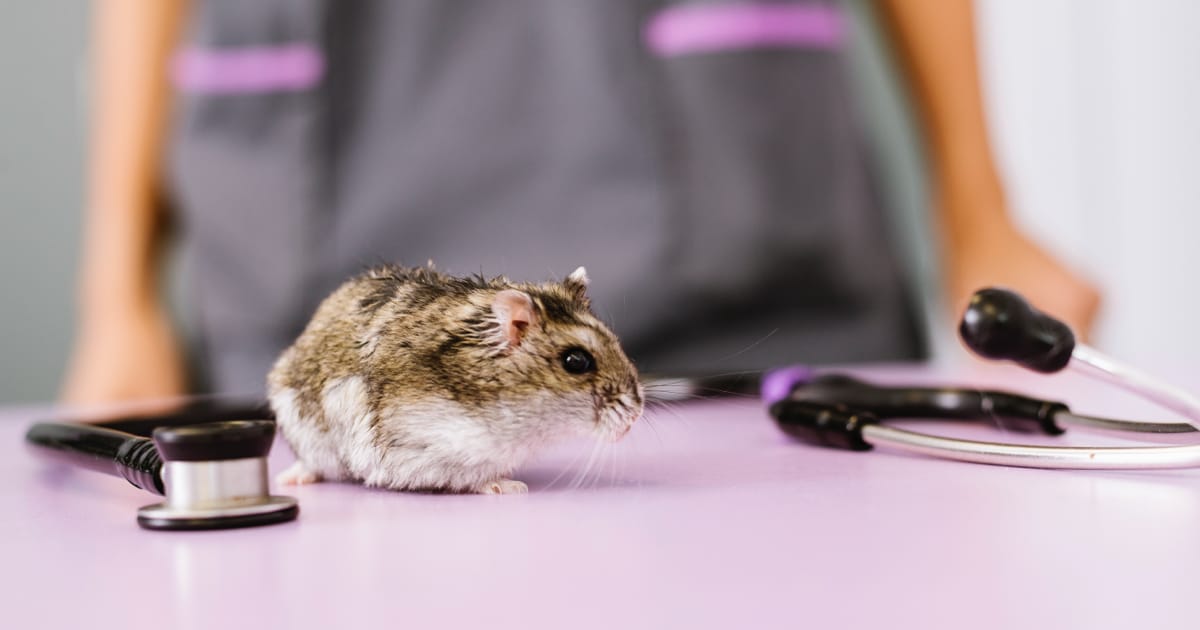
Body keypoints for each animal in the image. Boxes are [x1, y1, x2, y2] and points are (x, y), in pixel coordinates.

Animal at [267, 264, 644, 494]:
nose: (636, 414)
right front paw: (510, 487)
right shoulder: (430, 446)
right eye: (576, 361)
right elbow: (470, 477)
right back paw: (289, 479)